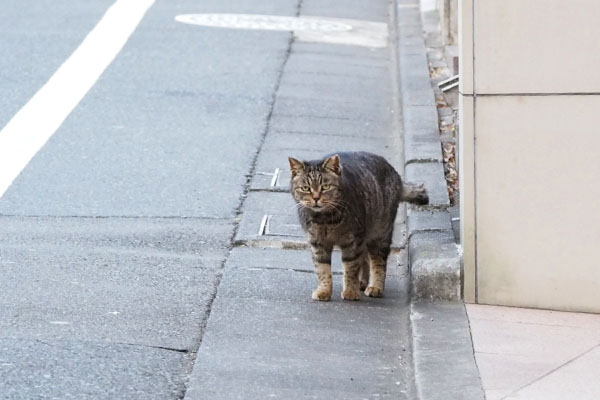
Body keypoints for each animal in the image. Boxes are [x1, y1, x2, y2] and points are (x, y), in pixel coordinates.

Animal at [290, 152, 426, 302]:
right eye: (305, 188)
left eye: (325, 187)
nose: (315, 198)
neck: (325, 219)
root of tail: (395, 174)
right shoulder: (318, 243)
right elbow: (322, 269)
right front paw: (324, 291)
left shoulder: (353, 241)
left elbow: (350, 268)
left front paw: (350, 291)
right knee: (364, 258)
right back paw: (362, 281)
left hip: (379, 235)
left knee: (378, 262)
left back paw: (375, 287)